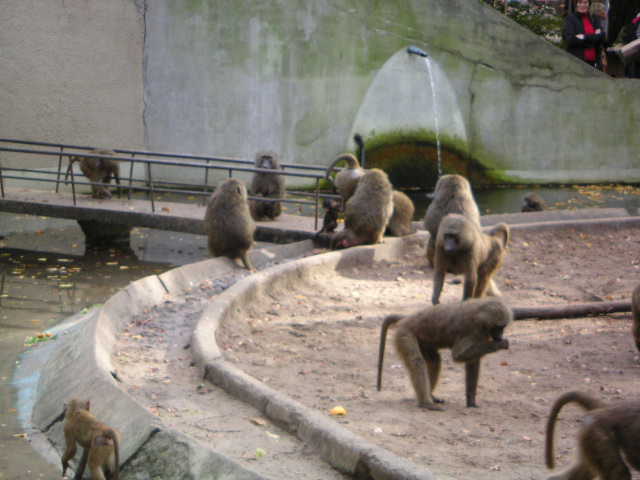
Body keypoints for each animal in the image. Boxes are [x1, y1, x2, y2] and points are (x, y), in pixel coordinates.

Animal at [377, 298, 512, 410]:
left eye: (503, 327)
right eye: (498, 327)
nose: (499, 336)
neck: (480, 315)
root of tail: (407, 318)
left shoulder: (481, 334)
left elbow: (472, 361)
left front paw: (471, 402)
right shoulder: (472, 330)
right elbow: (458, 355)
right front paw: (500, 345)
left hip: (423, 341)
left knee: (434, 361)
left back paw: (430, 396)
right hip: (405, 333)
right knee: (417, 361)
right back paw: (425, 403)